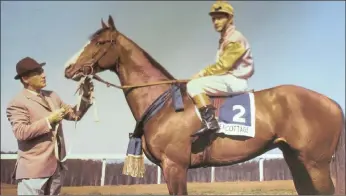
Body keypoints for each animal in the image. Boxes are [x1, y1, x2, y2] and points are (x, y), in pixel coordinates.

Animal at [63, 15, 344, 194]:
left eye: (99, 42)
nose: (68, 68)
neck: (163, 103)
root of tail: (332, 103)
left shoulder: (175, 166)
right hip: (296, 159)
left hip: (316, 163)